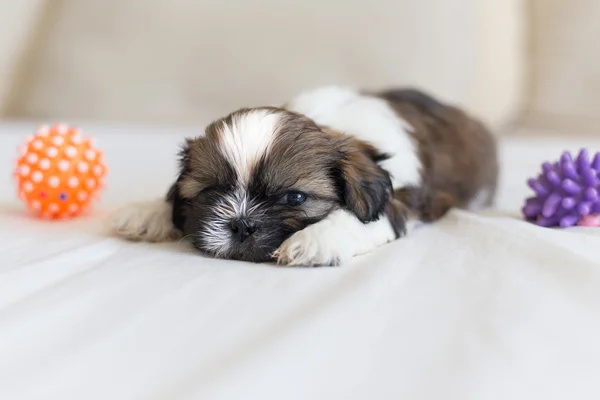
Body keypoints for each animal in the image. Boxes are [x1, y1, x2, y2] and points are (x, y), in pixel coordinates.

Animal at [106, 86, 496, 266]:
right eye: (211, 193)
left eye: (294, 197)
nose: (241, 225)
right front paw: (147, 211)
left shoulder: (398, 199)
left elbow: (362, 218)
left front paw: (315, 239)